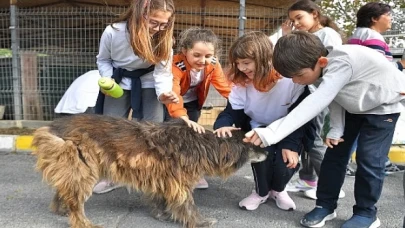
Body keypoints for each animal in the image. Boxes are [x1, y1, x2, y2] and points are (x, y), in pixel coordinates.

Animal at [31, 114, 266, 228]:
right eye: (253, 144)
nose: (268, 152)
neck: (203, 144)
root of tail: (53, 126)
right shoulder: (178, 182)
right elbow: (187, 205)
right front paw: (200, 222)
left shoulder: (163, 178)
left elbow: (160, 199)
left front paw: (161, 214)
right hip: (83, 168)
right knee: (76, 201)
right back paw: (83, 222)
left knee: (65, 190)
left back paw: (61, 209)